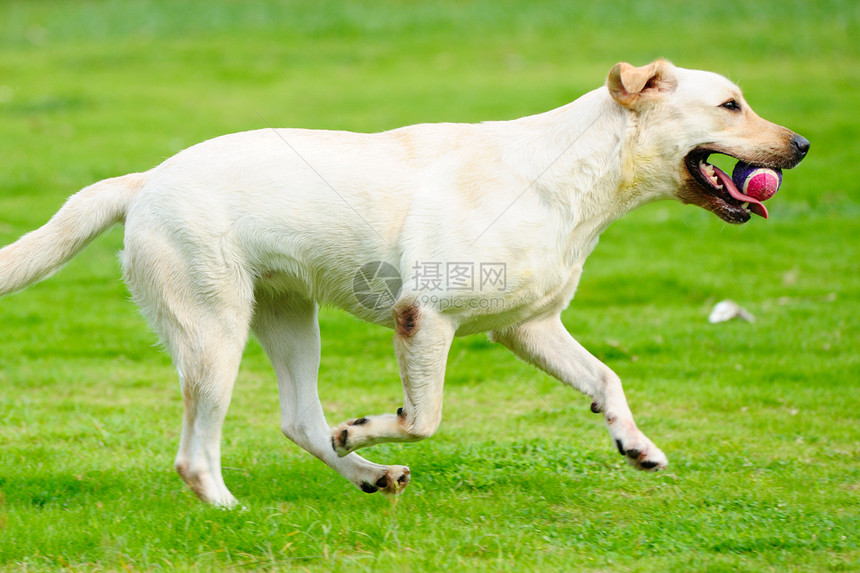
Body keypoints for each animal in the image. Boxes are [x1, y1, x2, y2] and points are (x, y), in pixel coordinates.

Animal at [0, 59, 808, 504]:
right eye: (731, 104)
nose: (801, 144)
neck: (573, 178)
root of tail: (146, 179)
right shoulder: (426, 316)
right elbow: (424, 417)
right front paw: (366, 423)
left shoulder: (528, 327)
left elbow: (605, 378)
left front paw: (635, 445)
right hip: (213, 335)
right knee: (197, 455)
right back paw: (233, 506)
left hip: (289, 320)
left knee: (299, 420)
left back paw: (368, 474)